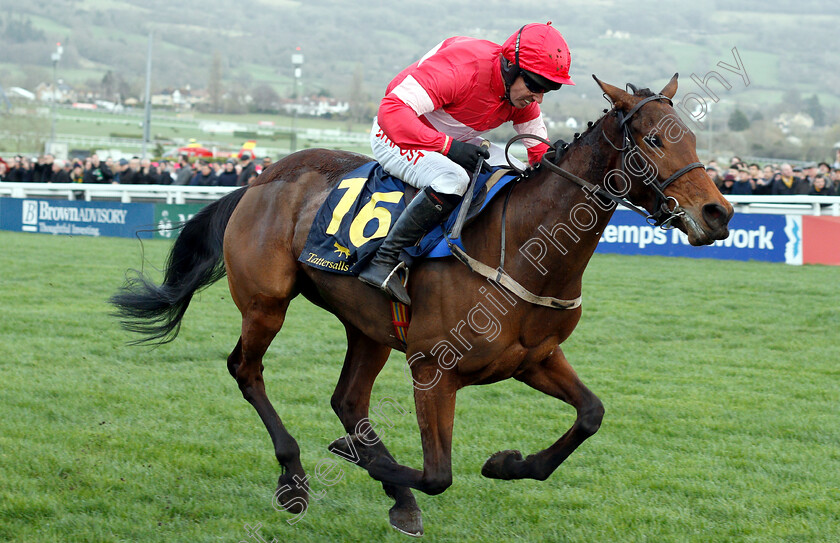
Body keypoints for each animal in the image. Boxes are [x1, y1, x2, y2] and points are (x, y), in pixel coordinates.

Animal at [111, 74, 728, 536]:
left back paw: (388, 492)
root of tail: (261, 178)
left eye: (694, 139)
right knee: (247, 370)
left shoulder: (534, 358)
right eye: (653, 141)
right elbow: (438, 474)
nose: (718, 214)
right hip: (266, 303)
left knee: (348, 400)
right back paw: (294, 479)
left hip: (368, 326)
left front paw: (508, 464)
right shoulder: (433, 367)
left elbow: (591, 414)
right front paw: (363, 463)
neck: (522, 247)